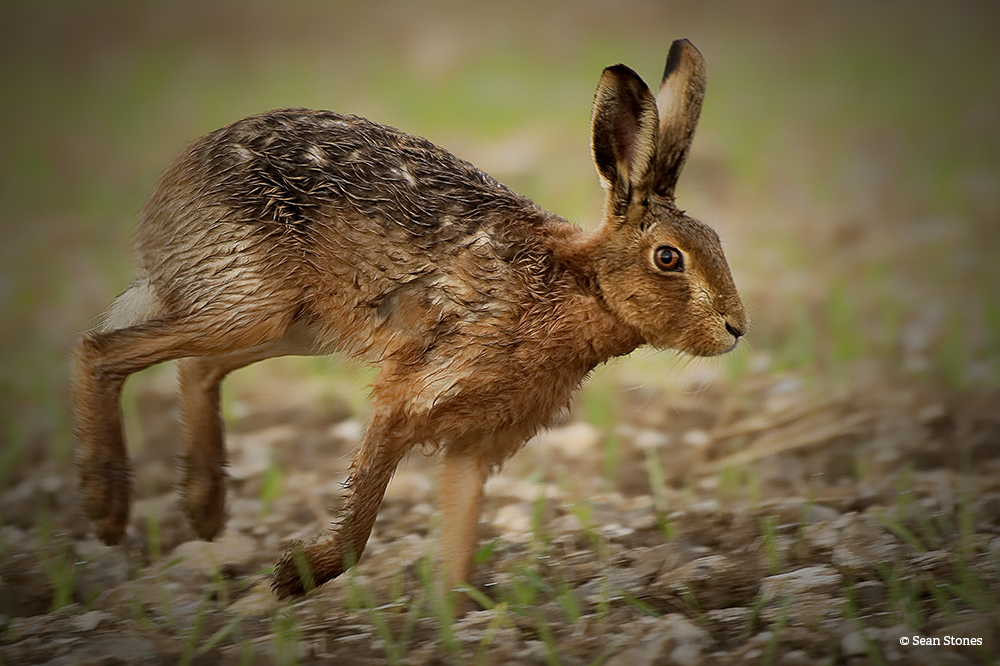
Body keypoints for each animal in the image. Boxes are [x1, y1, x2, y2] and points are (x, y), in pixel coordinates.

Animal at [70, 38, 747, 601]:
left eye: (717, 240)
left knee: (195, 369)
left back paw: (203, 509)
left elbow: (461, 528)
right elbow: (363, 514)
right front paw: (295, 578)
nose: (736, 328)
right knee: (100, 350)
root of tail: (168, 197)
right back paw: (108, 509)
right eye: (669, 257)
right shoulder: (413, 396)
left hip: (289, 325)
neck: (579, 283)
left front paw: (458, 611)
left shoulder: (477, 442)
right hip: (253, 306)